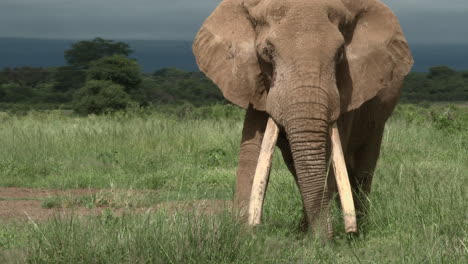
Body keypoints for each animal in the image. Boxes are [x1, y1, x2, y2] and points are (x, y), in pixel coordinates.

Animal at [193, 0, 414, 239]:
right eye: (267, 52)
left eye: (339, 54)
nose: (327, 241)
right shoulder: (255, 85)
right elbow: (253, 152)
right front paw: (244, 235)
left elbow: (329, 154)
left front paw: (315, 238)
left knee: (363, 166)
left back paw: (357, 227)